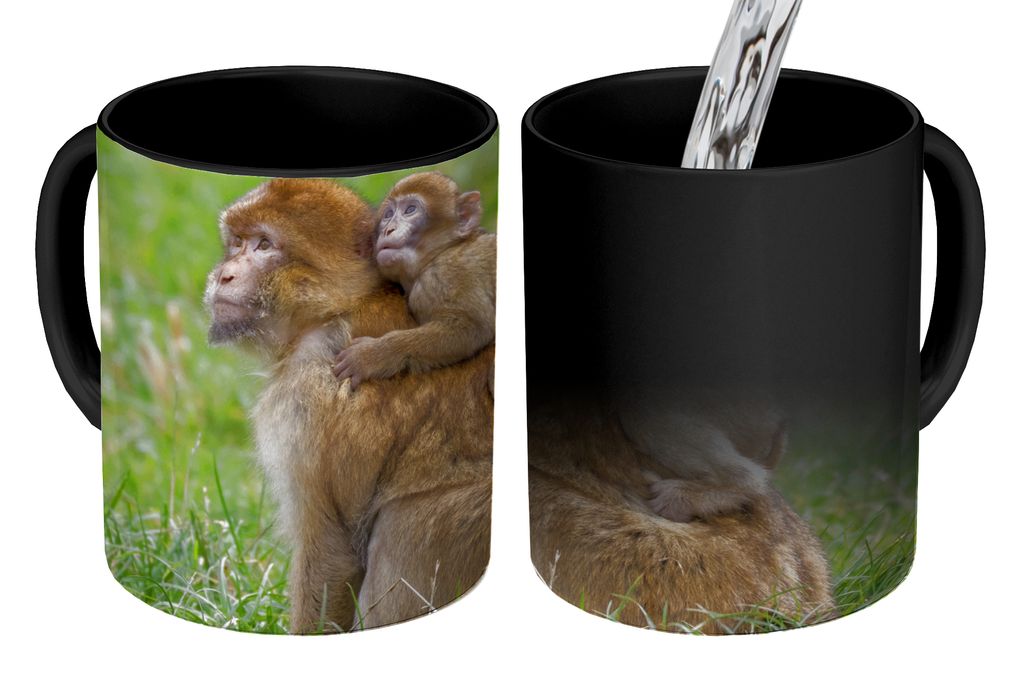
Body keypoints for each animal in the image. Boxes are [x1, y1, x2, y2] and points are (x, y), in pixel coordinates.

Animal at [332, 172, 496, 390]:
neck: (439, 254)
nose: (388, 230)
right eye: (388, 214)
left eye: (410, 210)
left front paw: (371, 355)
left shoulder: (450, 275)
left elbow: (471, 327)